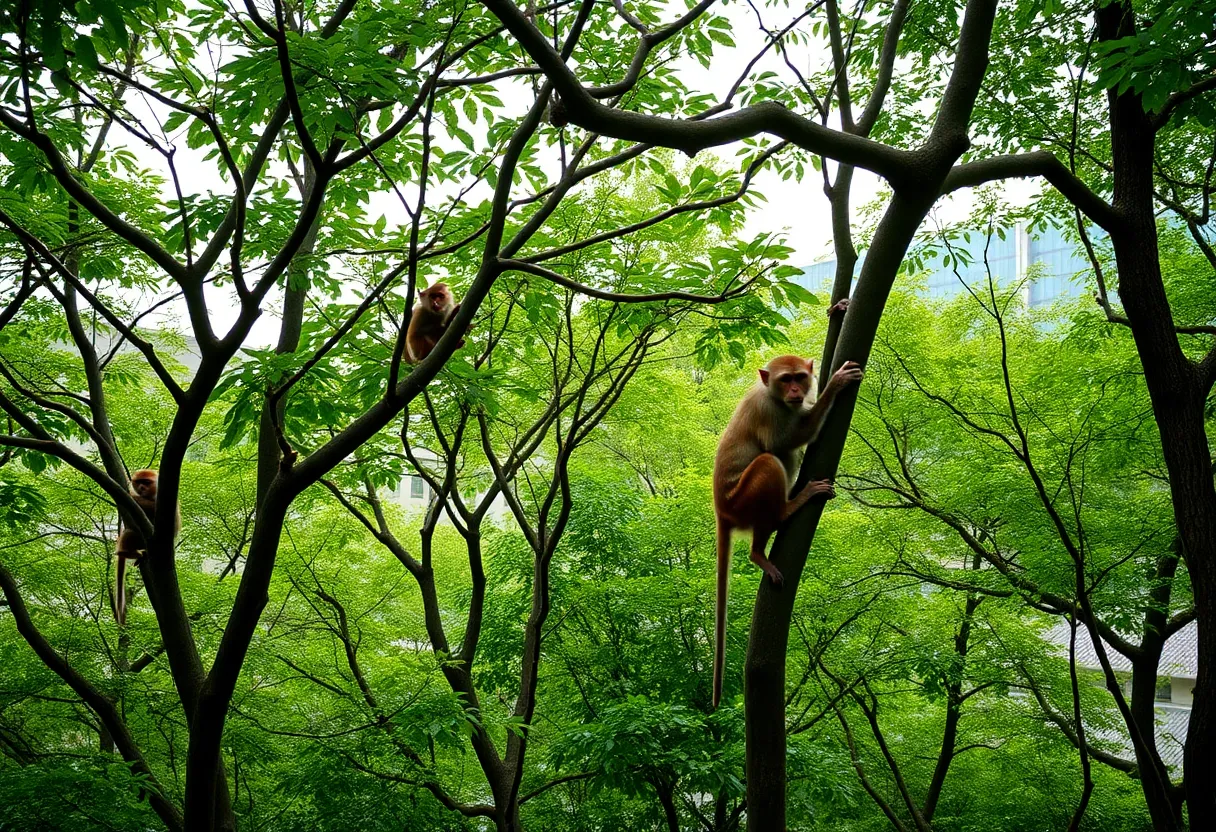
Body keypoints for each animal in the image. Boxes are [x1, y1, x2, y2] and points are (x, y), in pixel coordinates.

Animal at [114, 469, 180, 625]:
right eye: (139, 482)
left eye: (146, 482)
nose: (141, 488)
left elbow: (154, 509)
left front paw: (131, 495)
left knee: (131, 532)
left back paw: (125, 552)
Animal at [711, 355, 863, 707]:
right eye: (785, 380)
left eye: (799, 377)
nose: (795, 391)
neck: (772, 394)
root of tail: (721, 510)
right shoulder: (768, 410)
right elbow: (783, 442)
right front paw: (836, 383)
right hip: (743, 500)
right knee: (772, 460)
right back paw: (774, 528)